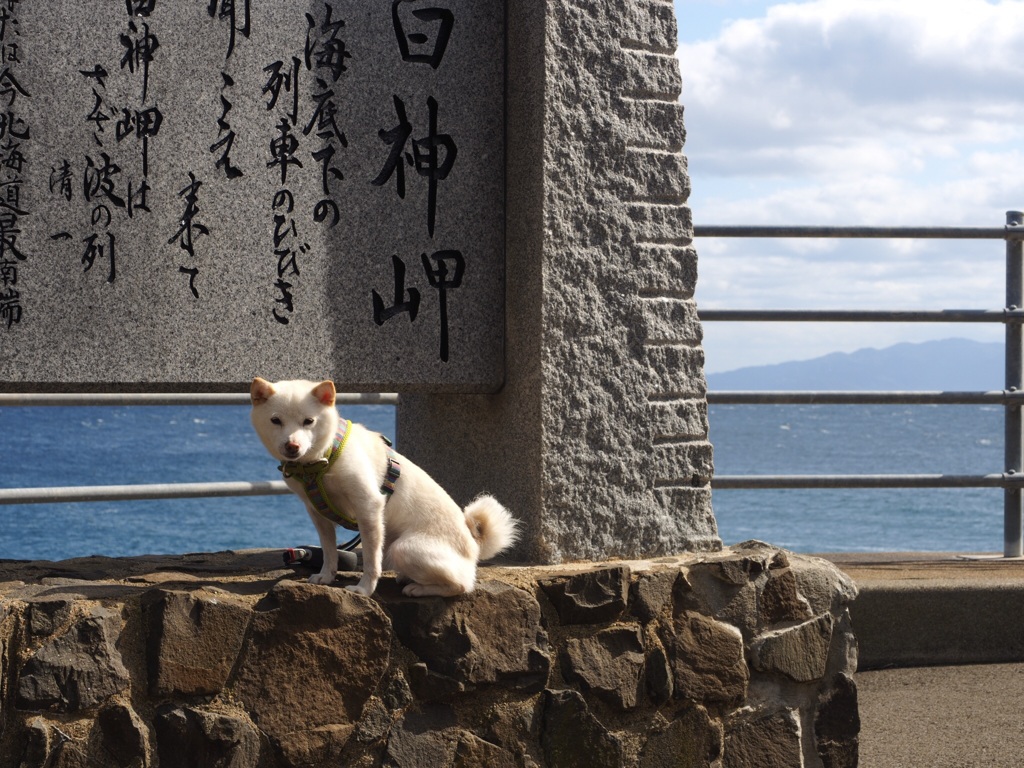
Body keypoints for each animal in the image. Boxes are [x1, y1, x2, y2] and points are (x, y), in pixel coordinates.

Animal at [248, 376, 520, 598]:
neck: (321, 461)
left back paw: (418, 588)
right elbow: (329, 550)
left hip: (403, 548)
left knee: (461, 585)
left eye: (309, 421)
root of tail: (474, 546)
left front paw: (364, 590)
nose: (292, 446)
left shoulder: (369, 507)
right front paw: (326, 576)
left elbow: (371, 559)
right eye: (275, 421)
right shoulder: (318, 513)